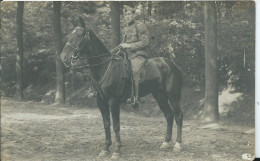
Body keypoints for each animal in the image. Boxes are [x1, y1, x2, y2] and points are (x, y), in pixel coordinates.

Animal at [60, 17, 184, 160]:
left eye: (79, 35)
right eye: (71, 34)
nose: (63, 57)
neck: (105, 67)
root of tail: (173, 65)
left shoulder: (113, 101)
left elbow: (116, 125)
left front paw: (117, 150)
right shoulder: (101, 102)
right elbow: (106, 124)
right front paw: (106, 148)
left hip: (174, 96)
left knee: (178, 116)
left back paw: (177, 145)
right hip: (160, 96)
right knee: (169, 115)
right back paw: (165, 143)